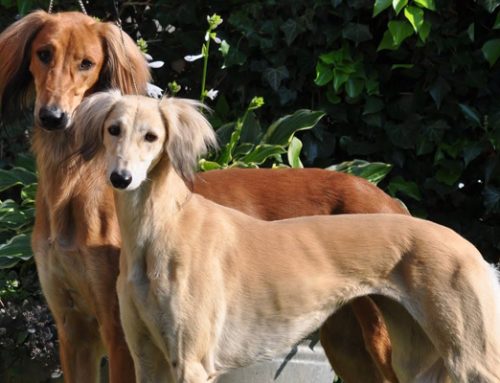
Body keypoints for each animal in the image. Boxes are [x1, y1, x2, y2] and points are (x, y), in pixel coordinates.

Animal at [0, 10, 404, 382]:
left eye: (87, 63)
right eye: (43, 53)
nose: (53, 117)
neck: (74, 186)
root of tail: (387, 198)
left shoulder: (120, 335)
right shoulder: (74, 332)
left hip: (382, 340)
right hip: (347, 341)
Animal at [73, 91, 500, 383]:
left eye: (151, 136)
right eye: (113, 130)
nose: (122, 178)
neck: (162, 226)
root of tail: (468, 246)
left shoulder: (191, 363)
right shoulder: (146, 358)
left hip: (469, 357)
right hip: (408, 357)